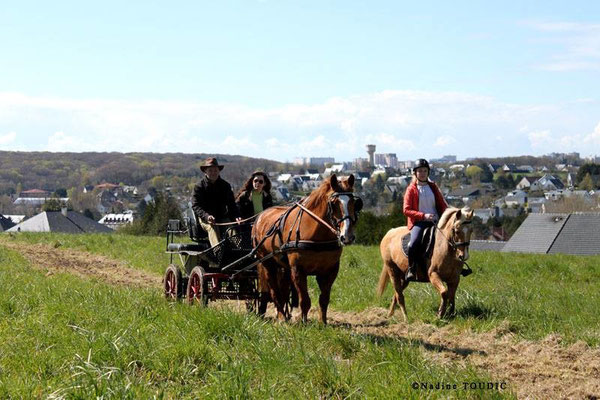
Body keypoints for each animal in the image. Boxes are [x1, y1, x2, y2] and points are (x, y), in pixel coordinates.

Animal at [252, 173, 360, 324]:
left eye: (354, 203)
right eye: (334, 203)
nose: (347, 236)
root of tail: (260, 216)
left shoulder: (330, 270)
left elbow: (324, 299)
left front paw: (323, 323)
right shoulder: (298, 270)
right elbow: (305, 300)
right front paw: (303, 322)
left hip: (284, 267)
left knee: (283, 291)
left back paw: (283, 316)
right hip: (267, 263)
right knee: (274, 291)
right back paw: (281, 317)